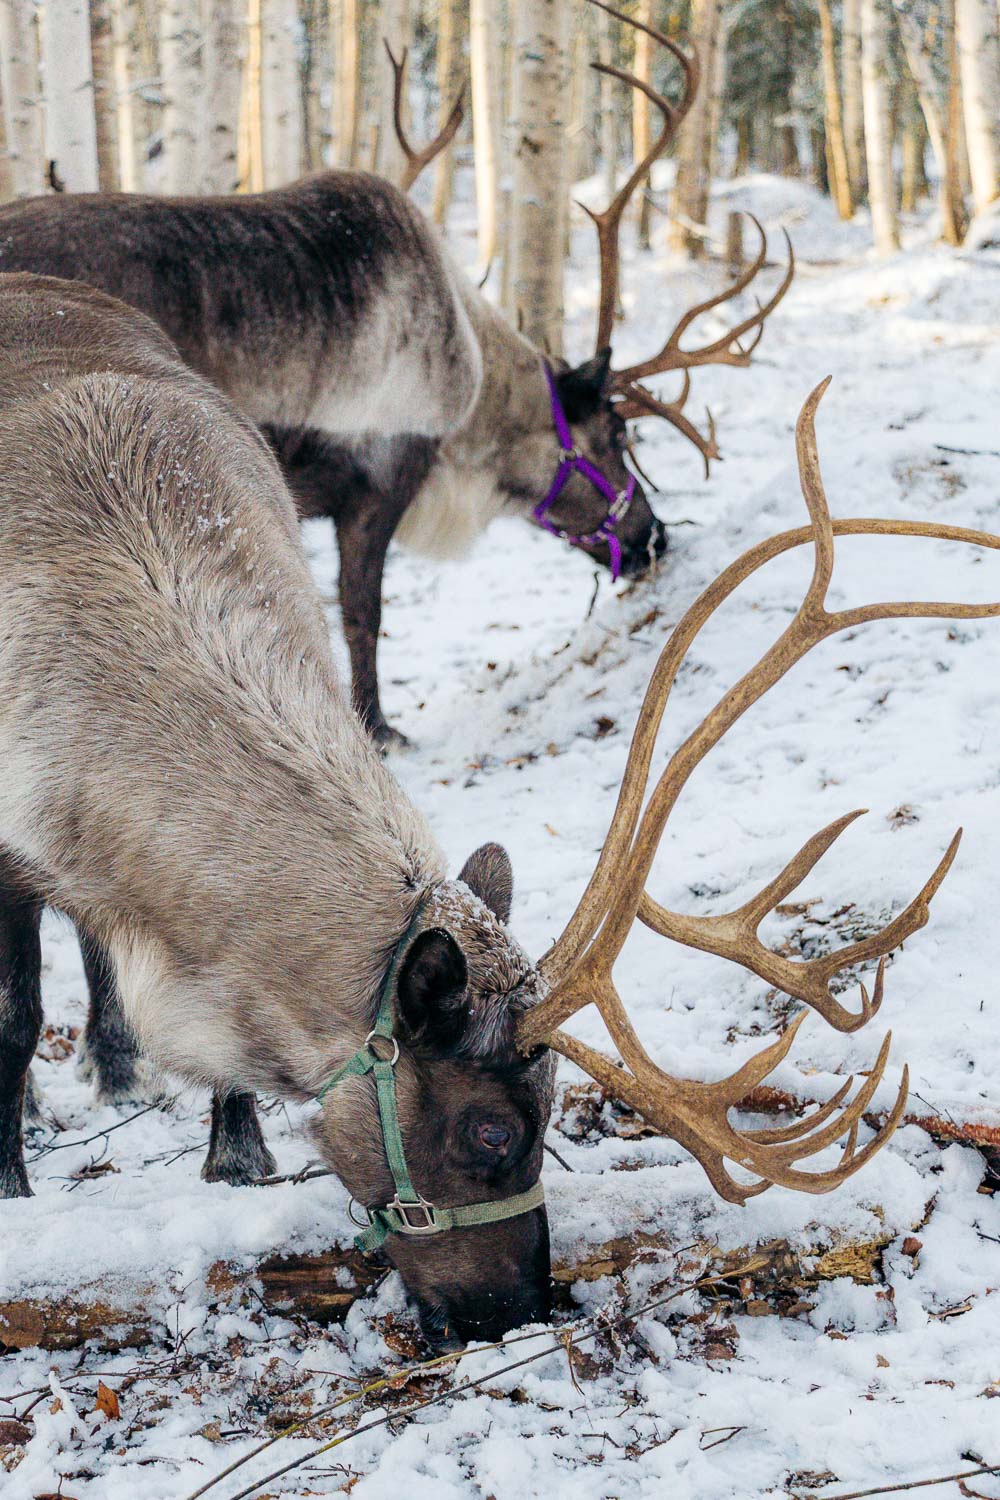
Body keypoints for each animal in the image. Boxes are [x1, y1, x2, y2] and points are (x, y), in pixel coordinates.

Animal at [0, 2, 790, 760]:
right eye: (617, 433)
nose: (656, 539)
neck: (474, 394)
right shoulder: (379, 482)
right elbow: (363, 613)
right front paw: (381, 727)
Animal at [3, 273, 996, 1342]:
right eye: (490, 1129)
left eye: (554, 1108)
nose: (519, 1308)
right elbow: (17, 1015)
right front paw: (13, 1179)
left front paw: (238, 1155)